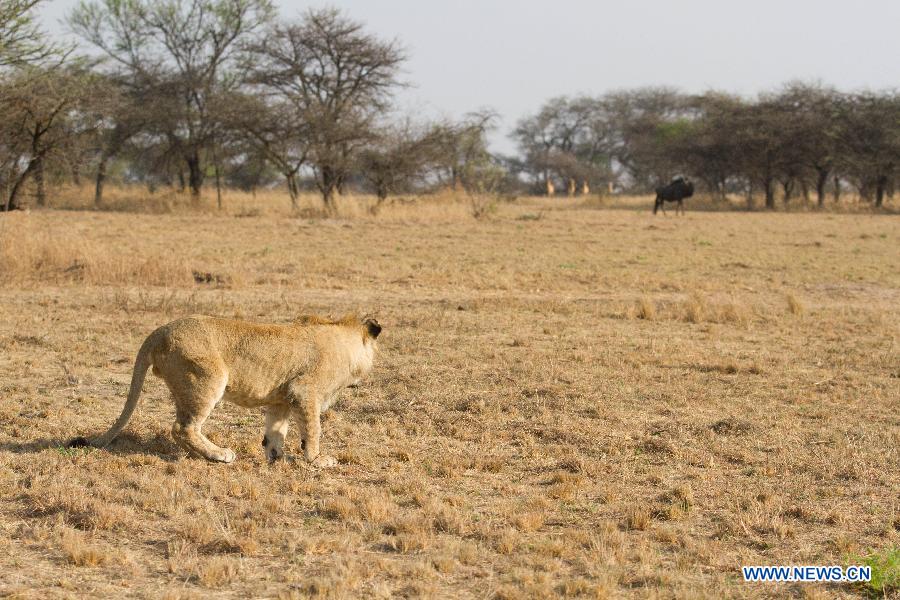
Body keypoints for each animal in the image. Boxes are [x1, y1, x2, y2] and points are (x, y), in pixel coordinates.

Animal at [69, 314, 380, 468]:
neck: (346, 342)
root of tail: (159, 331)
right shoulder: (305, 391)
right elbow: (313, 430)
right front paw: (317, 460)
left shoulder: (281, 398)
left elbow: (275, 431)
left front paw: (275, 458)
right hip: (208, 379)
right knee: (182, 428)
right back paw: (219, 455)